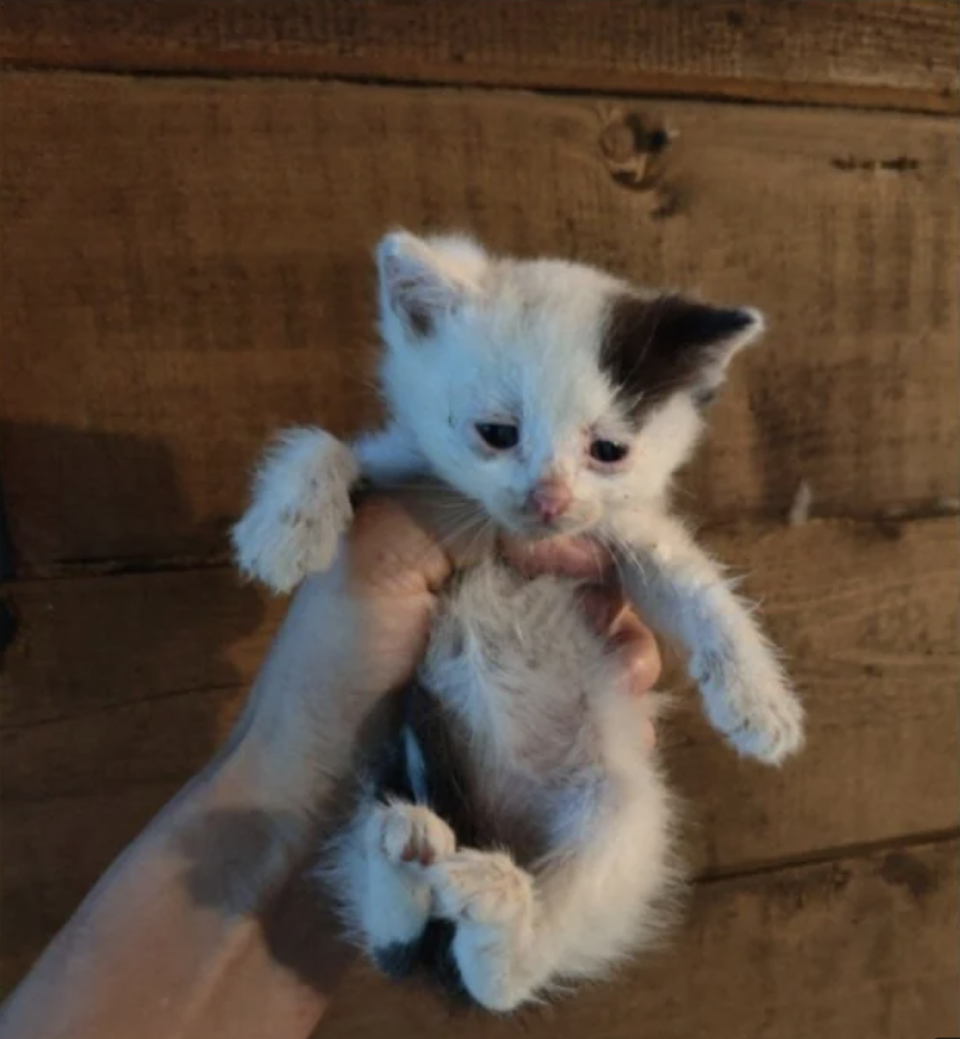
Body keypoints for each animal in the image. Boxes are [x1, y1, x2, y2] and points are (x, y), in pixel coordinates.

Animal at [230, 231, 802, 1009]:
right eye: (497, 434)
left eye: (608, 451)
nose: (549, 499)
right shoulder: (406, 468)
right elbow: (332, 444)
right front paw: (284, 530)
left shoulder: (618, 541)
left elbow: (693, 585)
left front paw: (757, 702)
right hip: (377, 765)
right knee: (400, 942)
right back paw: (406, 865)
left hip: (620, 809)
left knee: (500, 975)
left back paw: (492, 908)